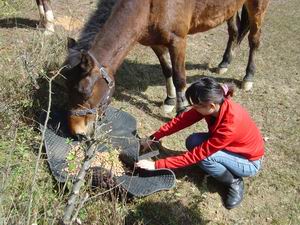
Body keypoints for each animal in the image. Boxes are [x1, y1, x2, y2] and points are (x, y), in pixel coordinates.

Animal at [63, 0, 270, 135]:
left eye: (84, 92)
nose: (77, 132)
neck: (148, 6)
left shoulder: (178, 41)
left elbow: (179, 77)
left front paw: (181, 110)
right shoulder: (155, 41)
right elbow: (167, 70)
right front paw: (169, 101)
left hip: (257, 6)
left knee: (254, 39)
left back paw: (248, 77)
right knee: (234, 32)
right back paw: (224, 63)